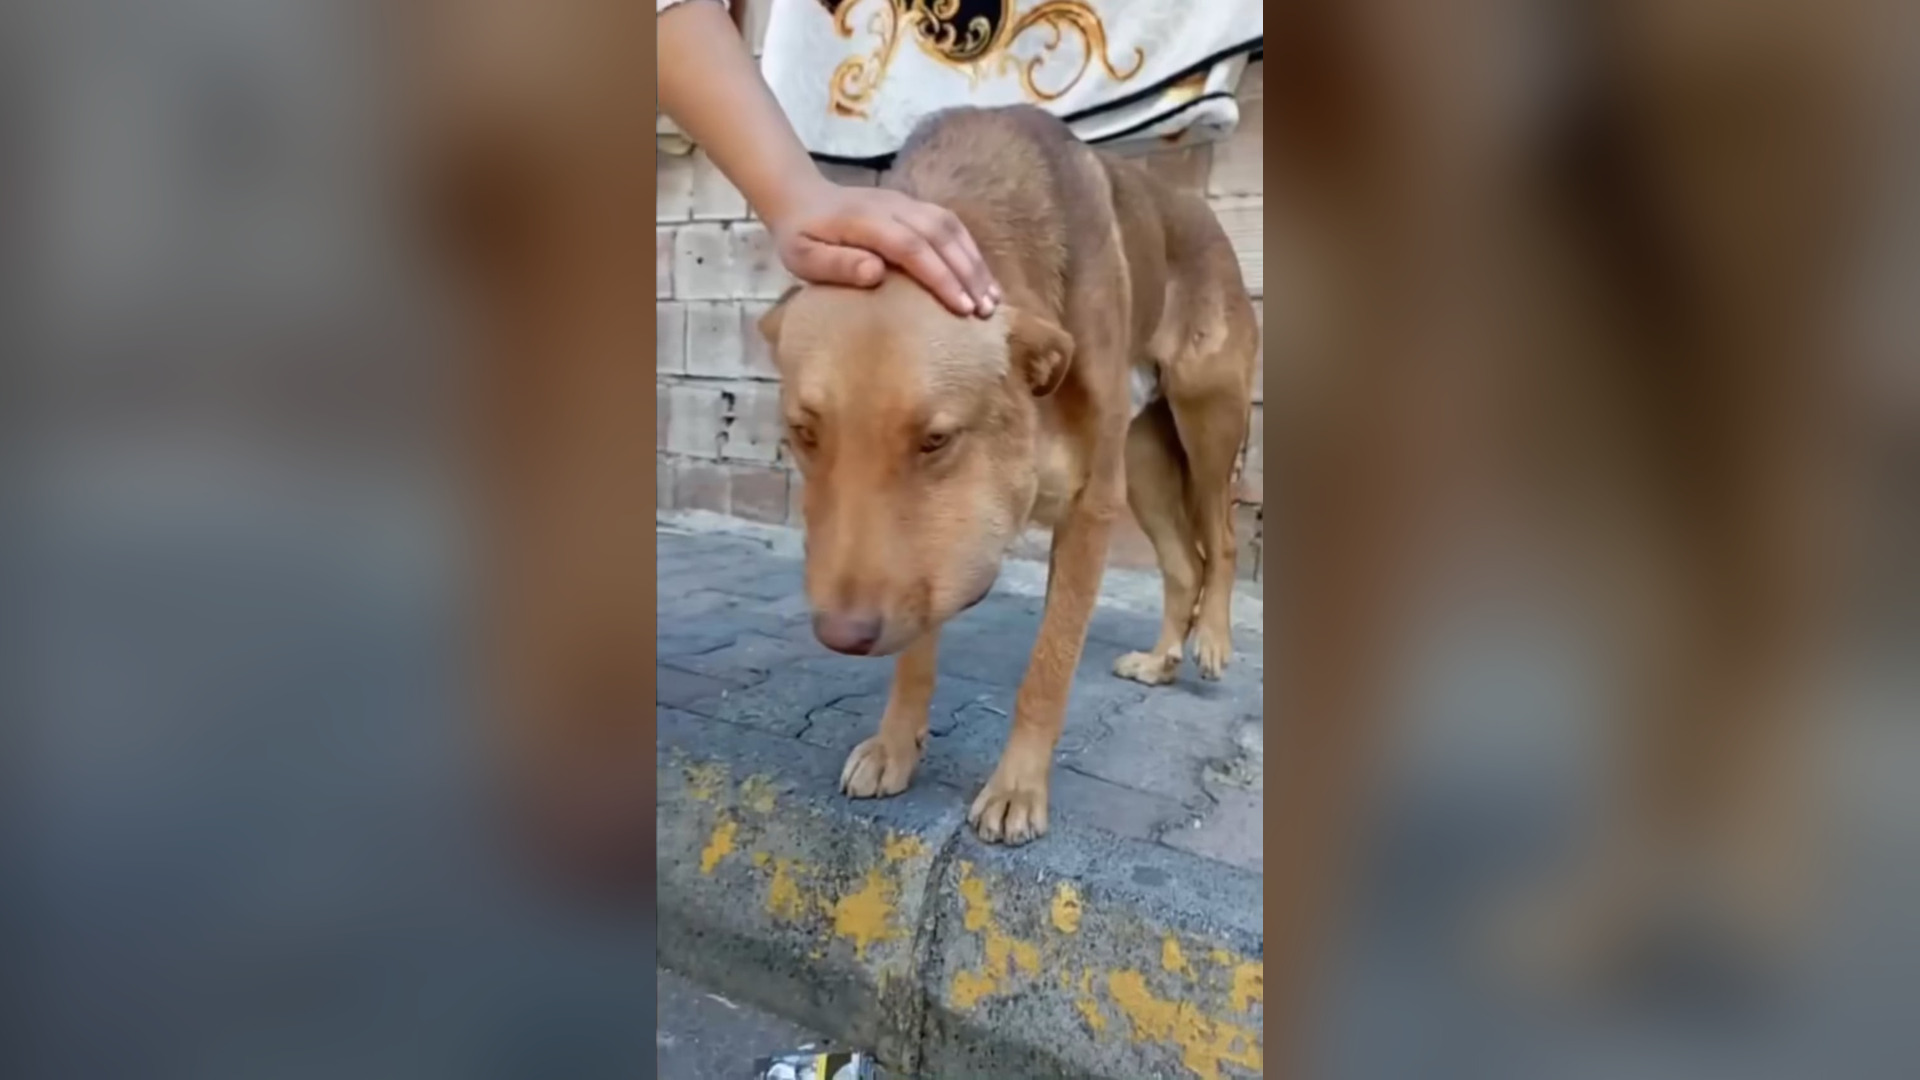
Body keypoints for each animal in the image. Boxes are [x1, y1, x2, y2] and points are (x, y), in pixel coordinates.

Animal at [756, 105, 1257, 846]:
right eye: (805, 434)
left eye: (936, 439)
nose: (841, 637)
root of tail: (1206, 217)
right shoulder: (937, 549)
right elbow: (918, 644)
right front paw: (897, 743)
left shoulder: (1089, 509)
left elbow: (1047, 668)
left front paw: (1017, 787)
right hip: (1142, 463)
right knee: (1181, 564)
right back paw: (1161, 659)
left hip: (1206, 419)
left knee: (1221, 540)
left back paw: (1214, 642)